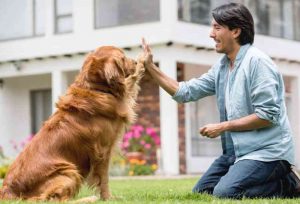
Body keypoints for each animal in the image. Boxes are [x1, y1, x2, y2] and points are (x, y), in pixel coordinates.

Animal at [0, 45, 145, 201]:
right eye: (123, 58)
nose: (135, 62)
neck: (95, 88)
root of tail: (7, 190)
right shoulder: (103, 151)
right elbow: (104, 179)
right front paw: (107, 198)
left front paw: (143, 62)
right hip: (69, 171)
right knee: (56, 199)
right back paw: (89, 199)